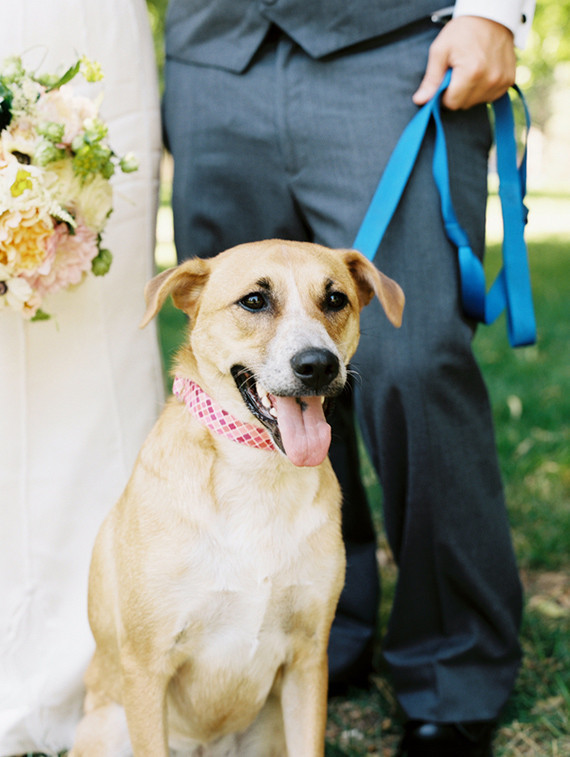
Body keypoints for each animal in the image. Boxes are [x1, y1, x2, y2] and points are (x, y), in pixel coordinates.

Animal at [70, 240, 404, 757]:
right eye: (253, 301)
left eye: (335, 300)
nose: (318, 365)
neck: (256, 475)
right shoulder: (146, 665)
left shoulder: (309, 658)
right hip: (107, 728)